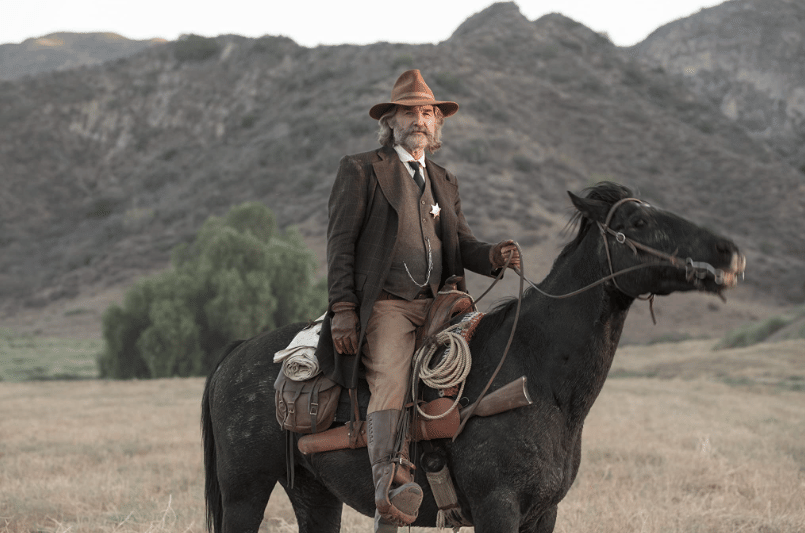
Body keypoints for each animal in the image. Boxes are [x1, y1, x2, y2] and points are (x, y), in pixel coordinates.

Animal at [201, 182, 745, 533]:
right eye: (638, 221)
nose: (728, 250)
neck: (537, 375)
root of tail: (237, 352)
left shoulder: (542, 513)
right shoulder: (497, 507)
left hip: (314, 495)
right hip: (245, 489)